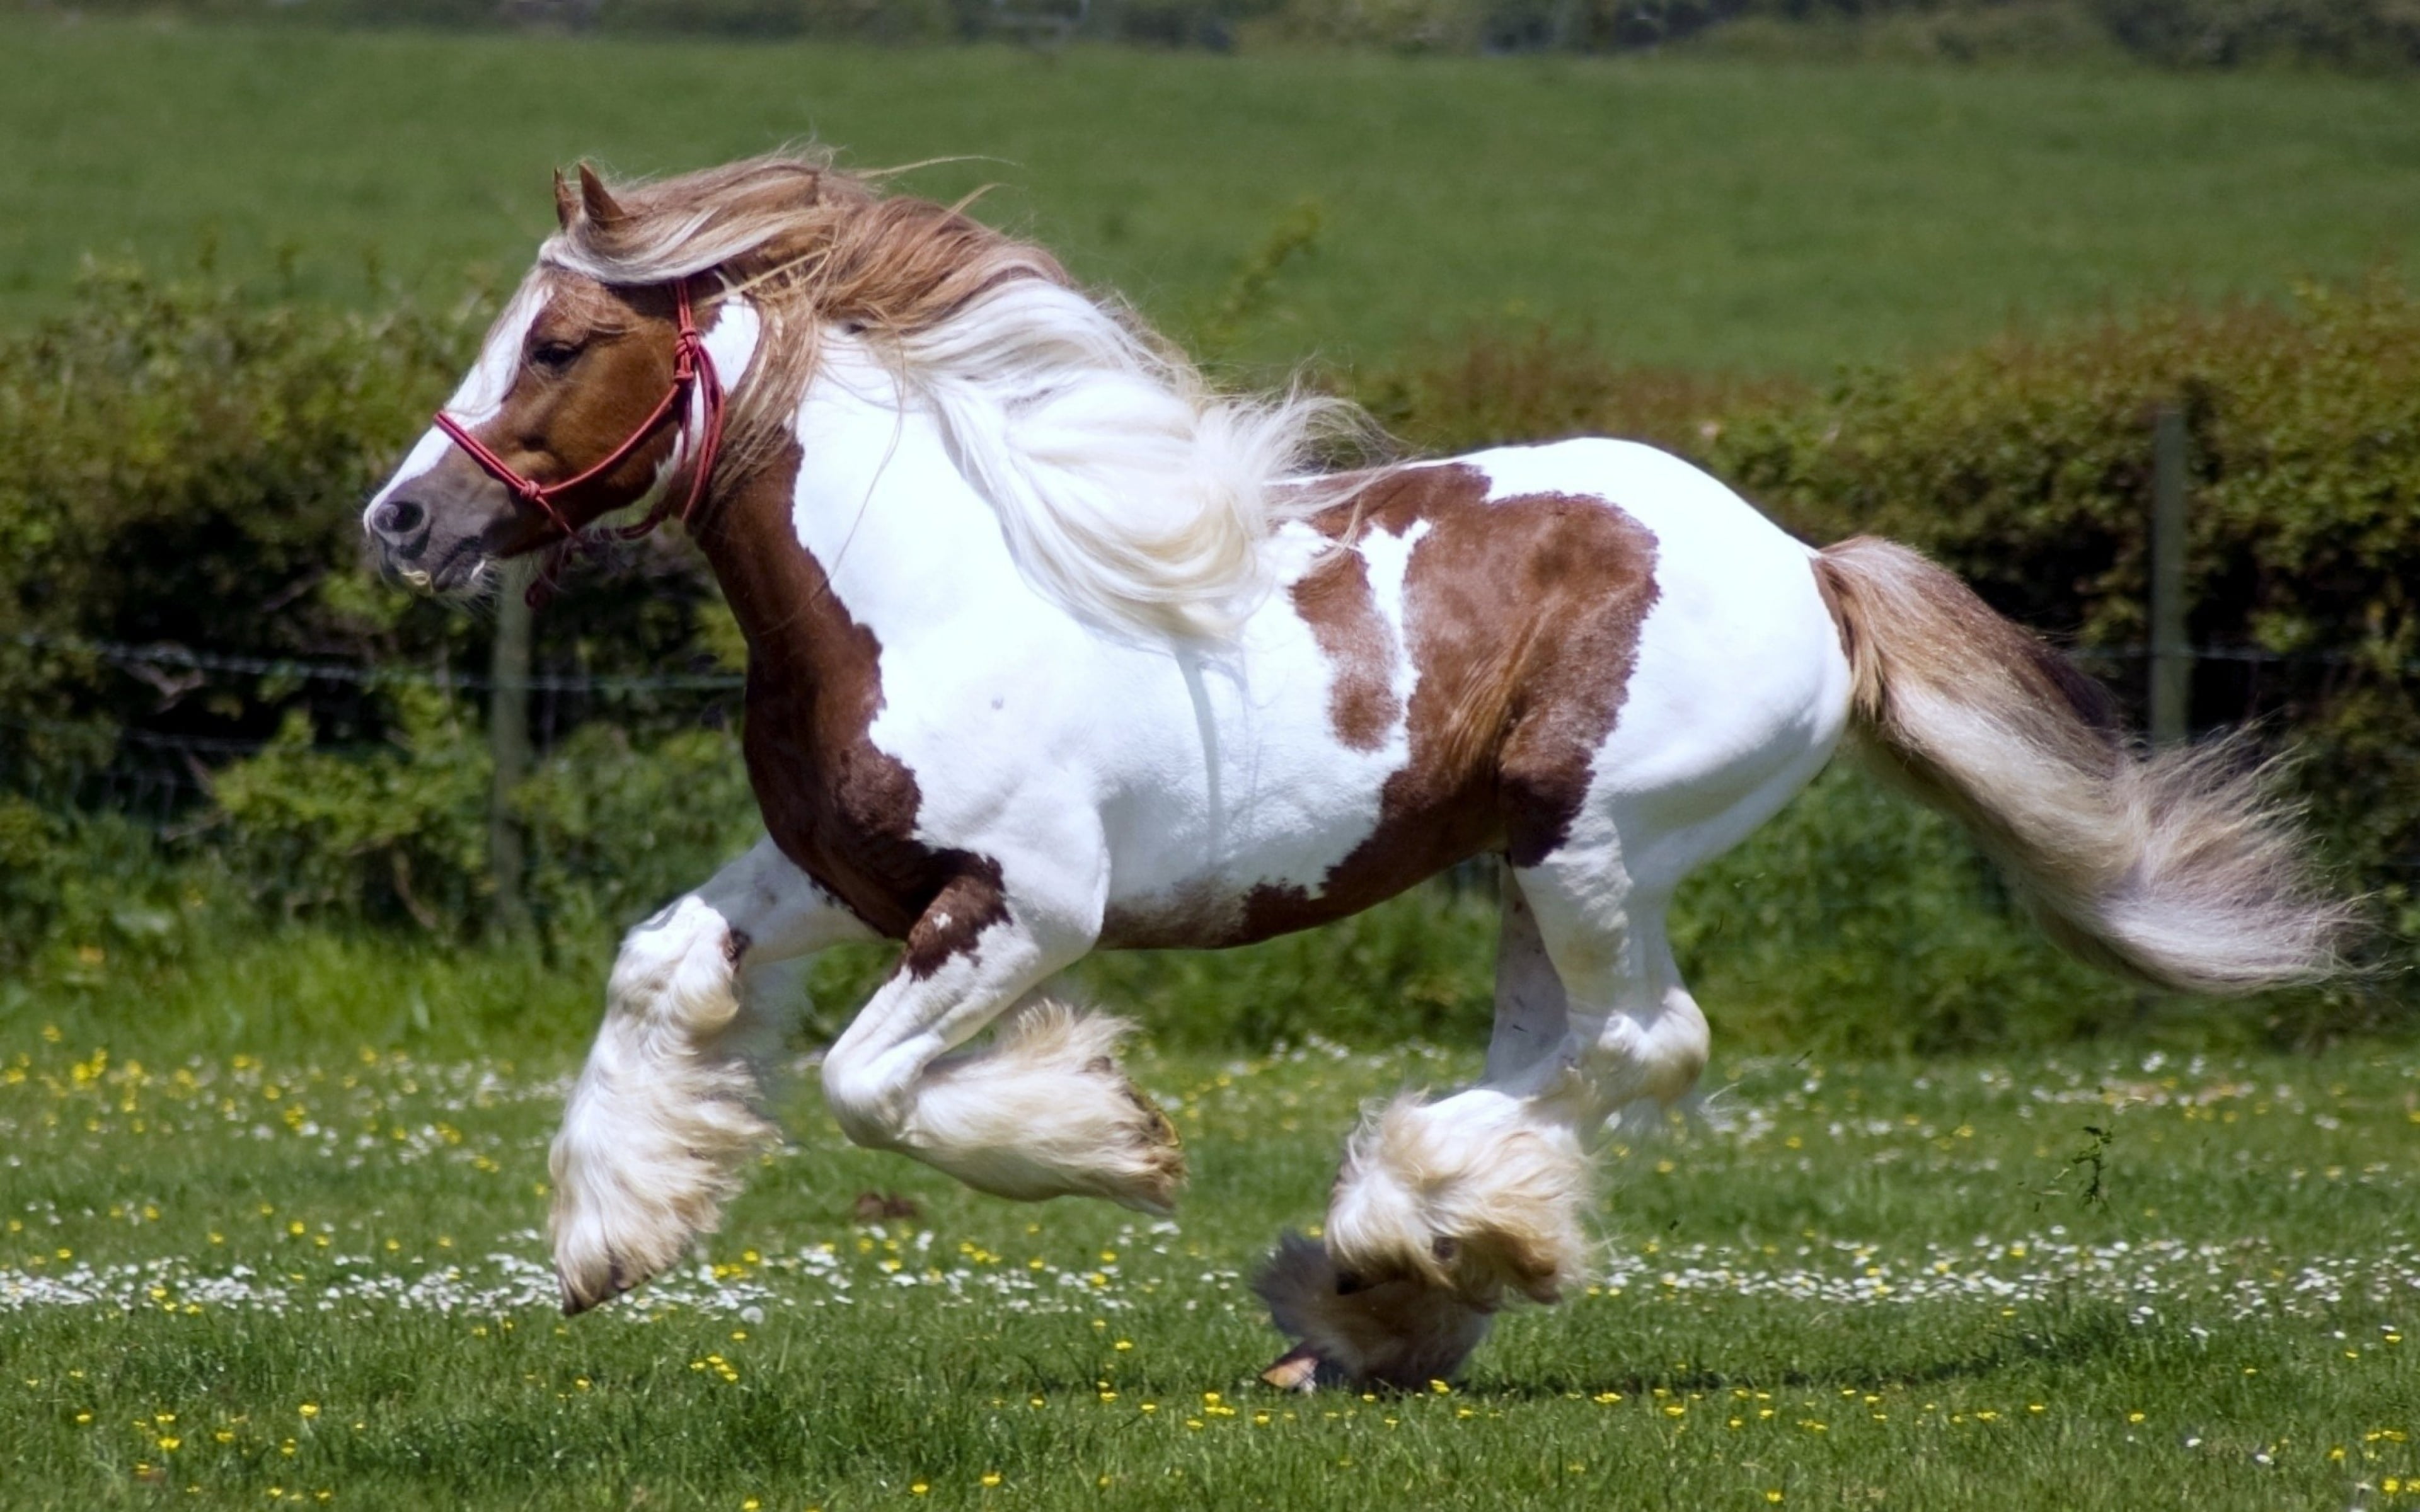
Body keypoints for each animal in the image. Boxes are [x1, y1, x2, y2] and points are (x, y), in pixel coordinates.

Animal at [362, 152, 2348, 1389]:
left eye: (560, 341)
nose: (402, 521)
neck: (923, 584)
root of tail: (1807, 569)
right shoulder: (830, 873)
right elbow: (657, 968)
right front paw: (611, 1239)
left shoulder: (1025, 909)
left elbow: (866, 1087)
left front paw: (1113, 1141)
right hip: (1534, 876)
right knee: (1569, 1052)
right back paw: (1387, 1291)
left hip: (1591, 844)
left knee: (1646, 1043)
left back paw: (1394, 1246)